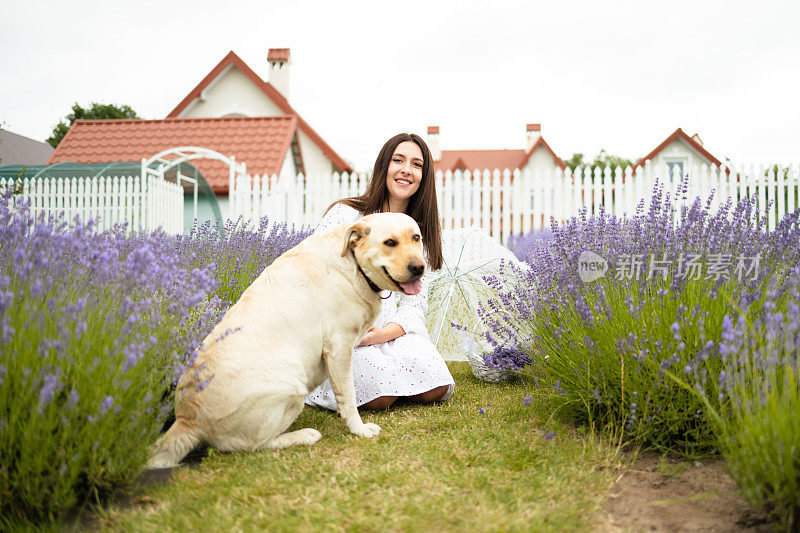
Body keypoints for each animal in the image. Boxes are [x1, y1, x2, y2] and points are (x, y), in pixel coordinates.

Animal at [148, 211, 428, 466]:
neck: (352, 265)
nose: (419, 267)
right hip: (292, 385)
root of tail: (187, 420)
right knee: (252, 445)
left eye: (416, 238)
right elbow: (348, 396)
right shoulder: (338, 348)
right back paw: (303, 435)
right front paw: (358, 430)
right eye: (390, 242)